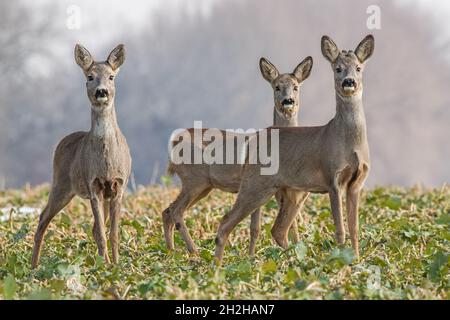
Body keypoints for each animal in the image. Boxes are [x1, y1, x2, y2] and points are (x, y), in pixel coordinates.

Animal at [30, 43, 130, 268]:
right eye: (90, 76)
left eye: (111, 77)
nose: (101, 91)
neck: (107, 162)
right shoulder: (93, 185)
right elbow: (102, 234)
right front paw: (105, 268)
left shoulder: (118, 186)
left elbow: (113, 234)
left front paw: (116, 266)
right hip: (61, 183)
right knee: (42, 218)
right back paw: (33, 267)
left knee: (92, 228)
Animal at [162, 55, 312, 255]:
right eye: (276, 86)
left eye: (296, 86)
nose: (288, 101)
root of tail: (174, 142)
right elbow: (263, 226)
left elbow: (258, 227)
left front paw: (251, 255)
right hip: (194, 180)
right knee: (176, 211)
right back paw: (195, 252)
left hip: (203, 186)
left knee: (167, 211)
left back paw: (171, 252)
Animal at [213, 35, 374, 264]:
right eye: (338, 68)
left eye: (358, 68)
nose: (349, 82)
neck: (349, 144)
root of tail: (252, 142)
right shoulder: (332, 178)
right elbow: (340, 229)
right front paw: (341, 262)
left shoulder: (357, 183)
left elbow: (354, 227)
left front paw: (357, 260)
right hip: (256, 184)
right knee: (226, 222)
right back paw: (217, 268)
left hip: (285, 192)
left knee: (278, 229)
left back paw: (295, 259)